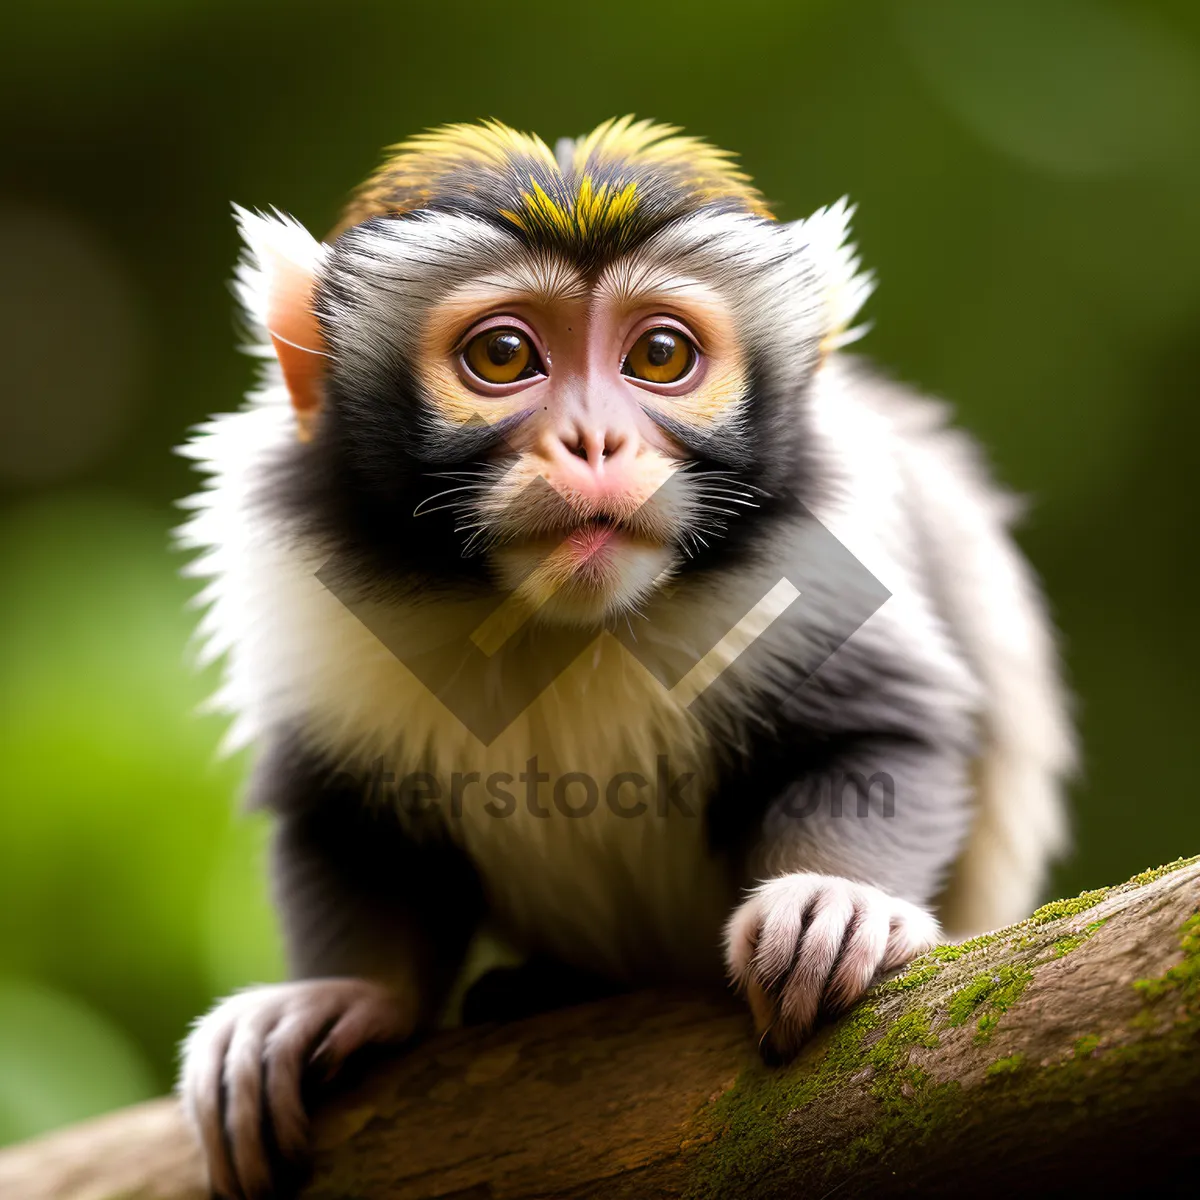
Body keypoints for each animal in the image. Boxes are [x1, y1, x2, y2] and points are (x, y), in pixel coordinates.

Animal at [174, 114, 1075, 1200]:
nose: (595, 441)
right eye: (505, 355)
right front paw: (342, 996)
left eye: (658, 355)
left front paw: (837, 898)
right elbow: (346, 818)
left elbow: (883, 737)